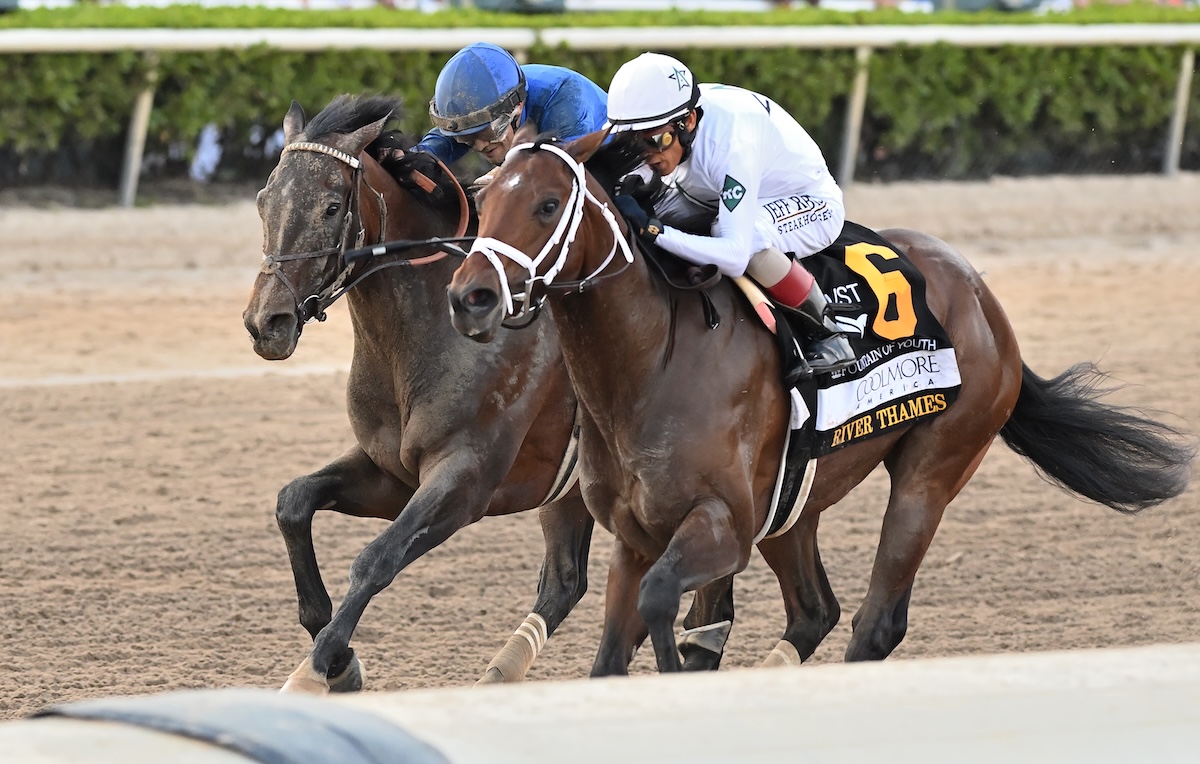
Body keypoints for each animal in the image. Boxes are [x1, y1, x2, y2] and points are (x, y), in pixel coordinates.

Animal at [240, 95, 734, 690]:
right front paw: (338, 659)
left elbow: (376, 560)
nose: (266, 323)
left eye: (333, 208)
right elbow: (293, 503)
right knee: (565, 582)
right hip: (571, 491)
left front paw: (322, 668)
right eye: (264, 201)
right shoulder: (394, 472)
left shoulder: (466, 479)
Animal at [446, 131, 1195, 671]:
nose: (469, 296)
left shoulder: (723, 527)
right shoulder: (635, 536)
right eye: (482, 194)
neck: (652, 362)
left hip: (931, 472)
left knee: (877, 621)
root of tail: (981, 292)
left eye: (547, 204)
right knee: (815, 610)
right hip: (794, 499)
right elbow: (613, 651)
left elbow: (664, 605)